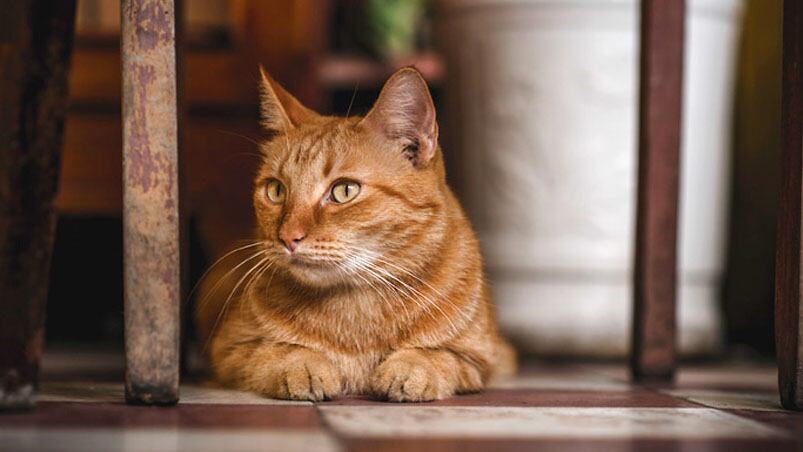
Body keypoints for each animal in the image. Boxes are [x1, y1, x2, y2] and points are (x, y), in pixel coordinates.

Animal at [198, 65, 520, 400]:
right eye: (276, 190)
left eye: (344, 190)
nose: (287, 237)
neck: (356, 307)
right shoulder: (229, 350)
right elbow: (275, 352)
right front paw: (303, 366)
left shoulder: (482, 358)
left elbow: (437, 356)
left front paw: (410, 369)